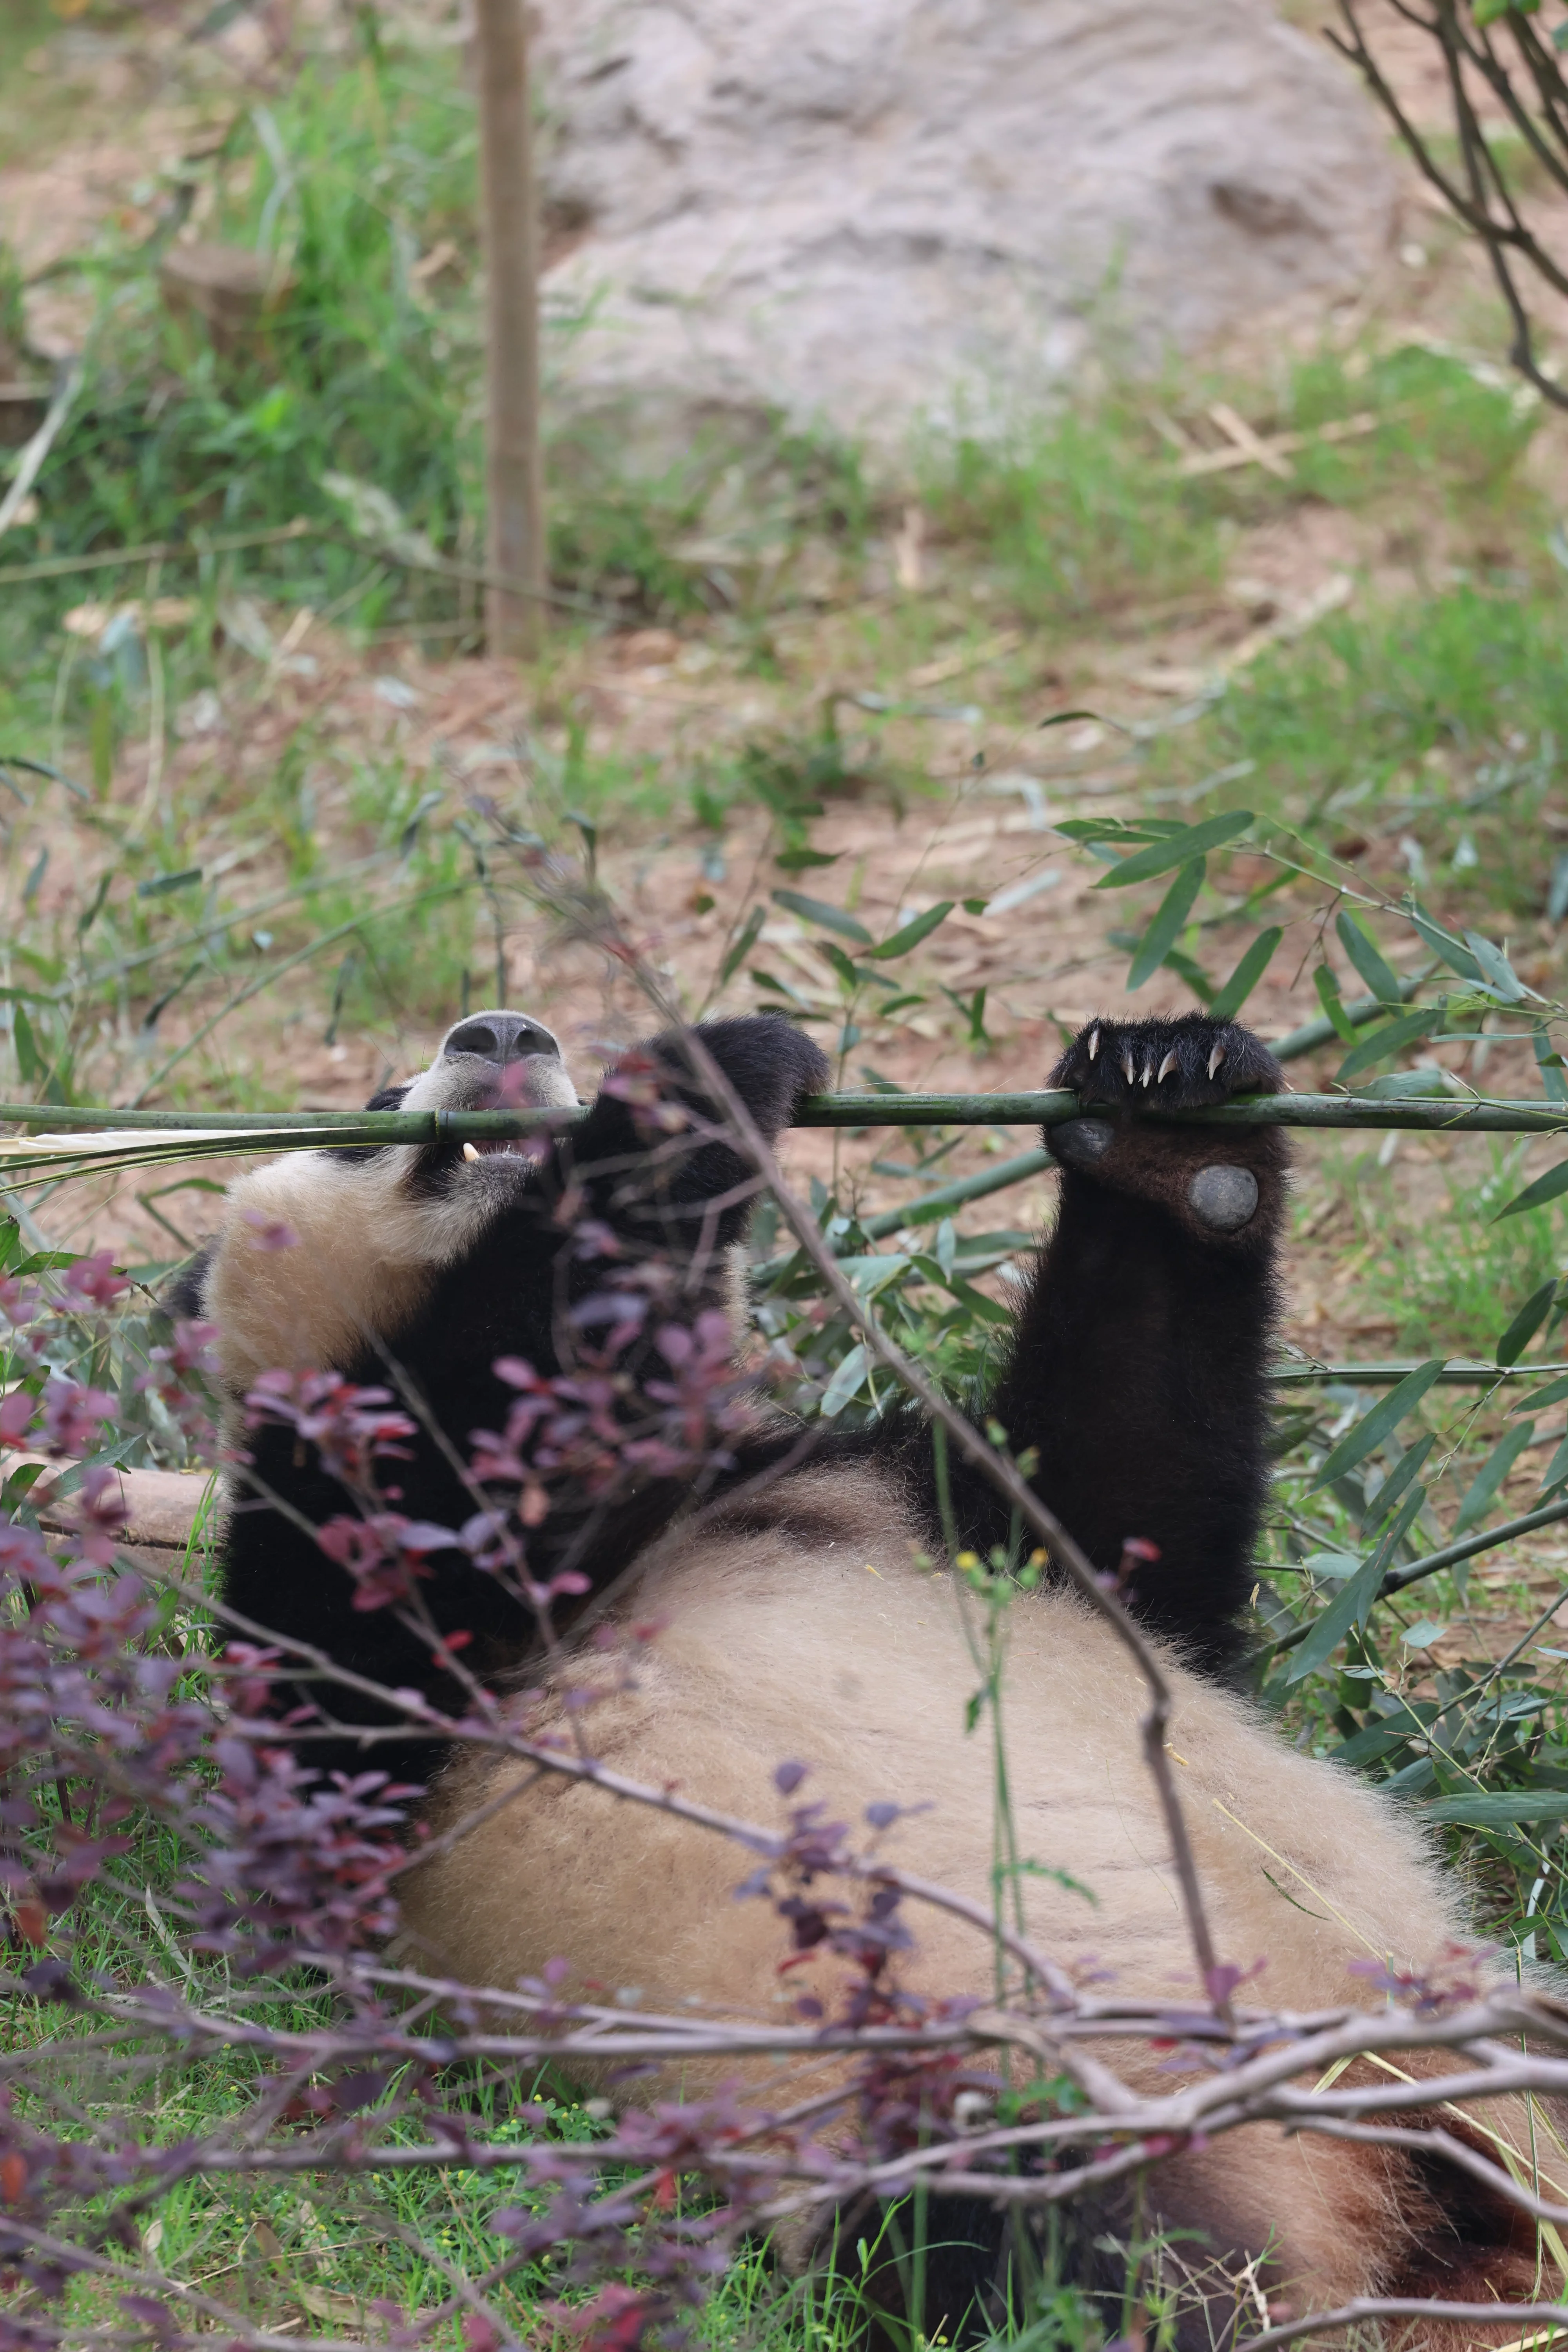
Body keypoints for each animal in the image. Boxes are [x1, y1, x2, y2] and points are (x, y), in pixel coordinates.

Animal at [171, 1005, 1557, 2346]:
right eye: (370, 1115)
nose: (505, 1034)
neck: (673, 1498)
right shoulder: (319, 1591)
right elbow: (447, 1482)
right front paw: (699, 1083)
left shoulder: (892, 1494)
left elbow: (1125, 1526)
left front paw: (1163, 1114)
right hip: (973, 2081)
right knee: (1046, 2239)